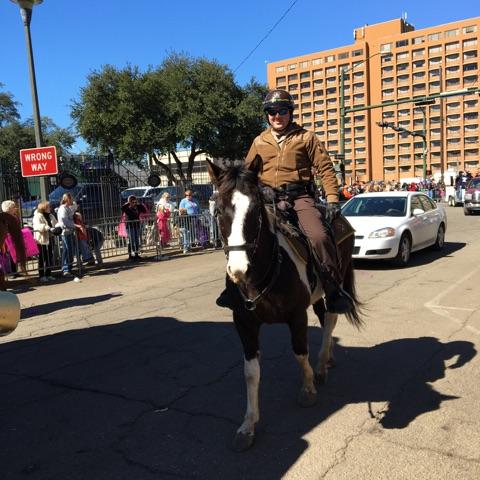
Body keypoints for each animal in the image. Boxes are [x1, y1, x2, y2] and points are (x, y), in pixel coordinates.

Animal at [207, 159, 364, 452]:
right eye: (218, 210)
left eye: (255, 209)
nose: (238, 269)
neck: (262, 274)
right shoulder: (243, 323)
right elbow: (251, 373)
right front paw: (248, 425)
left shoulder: (296, 316)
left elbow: (300, 353)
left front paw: (308, 389)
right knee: (325, 317)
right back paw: (327, 359)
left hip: (335, 281)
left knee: (330, 318)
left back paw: (322, 364)